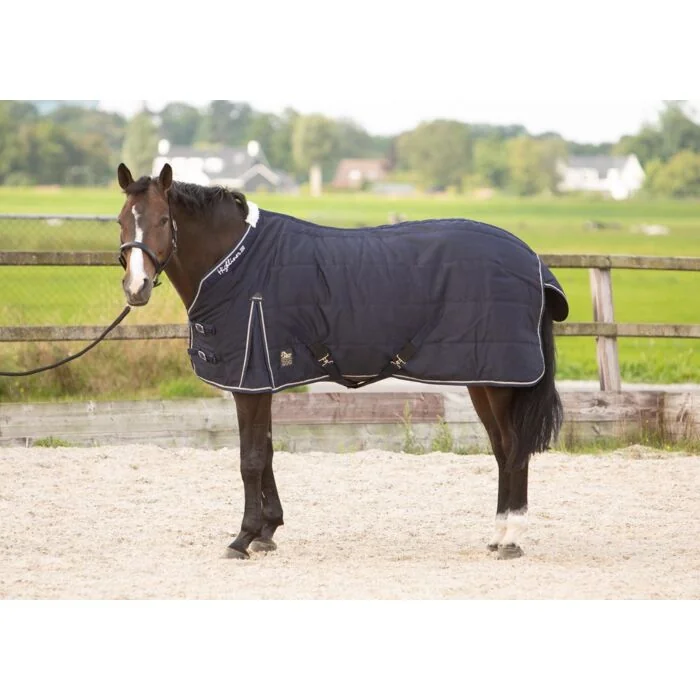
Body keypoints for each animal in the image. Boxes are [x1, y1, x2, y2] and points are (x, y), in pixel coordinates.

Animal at [116, 162, 569, 560]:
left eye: (162, 220)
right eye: (121, 221)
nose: (136, 288)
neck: (238, 265)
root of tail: (533, 261)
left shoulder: (251, 382)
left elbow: (251, 460)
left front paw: (243, 537)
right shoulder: (263, 381)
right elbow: (268, 452)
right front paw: (267, 531)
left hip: (501, 382)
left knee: (514, 450)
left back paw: (511, 539)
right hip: (484, 379)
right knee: (502, 449)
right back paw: (498, 536)